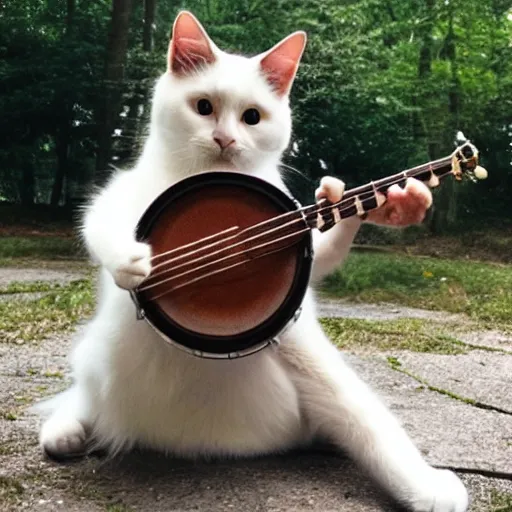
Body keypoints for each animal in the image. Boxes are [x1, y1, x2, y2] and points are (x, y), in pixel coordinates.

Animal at [35, 12, 468, 512]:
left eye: (253, 117)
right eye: (203, 107)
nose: (224, 139)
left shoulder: (299, 304)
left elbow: (366, 414)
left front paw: (394, 200)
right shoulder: (117, 197)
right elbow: (97, 224)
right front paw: (130, 260)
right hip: (93, 356)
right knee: (85, 397)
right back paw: (65, 430)